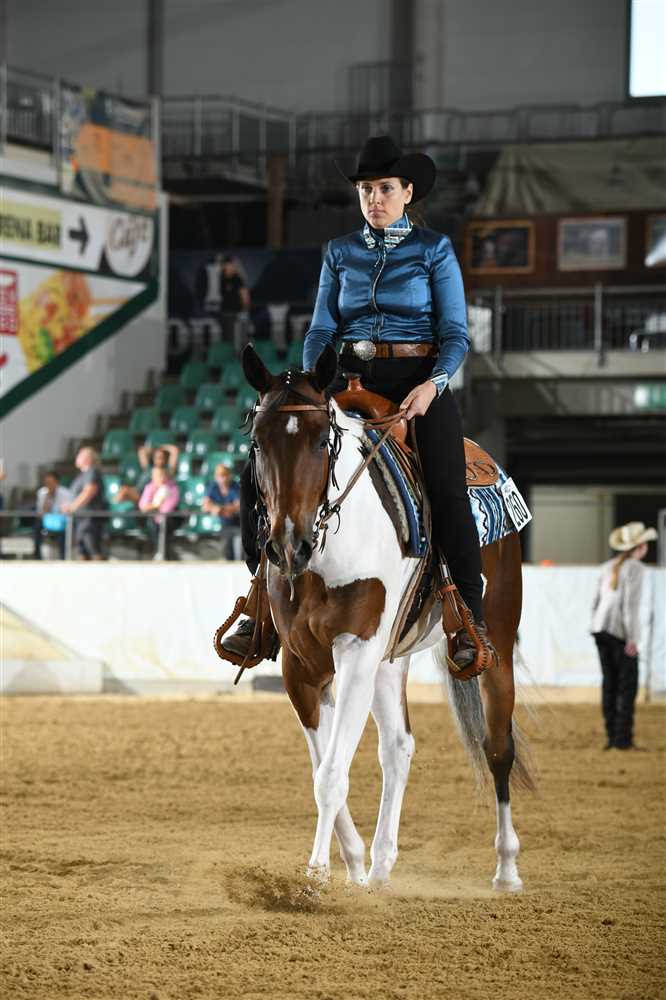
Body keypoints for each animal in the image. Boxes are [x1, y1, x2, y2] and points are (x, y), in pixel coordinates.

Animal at [236, 344, 533, 890]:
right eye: (258, 442)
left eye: (322, 441)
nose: (288, 545)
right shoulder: (301, 665)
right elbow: (323, 768)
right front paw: (351, 864)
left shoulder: (355, 650)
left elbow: (332, 773)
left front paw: (314, 876)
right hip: (390, 658)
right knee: (398, 747)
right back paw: (379, 868)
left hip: (497, 641)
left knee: (497, 747)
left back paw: (506, 869)